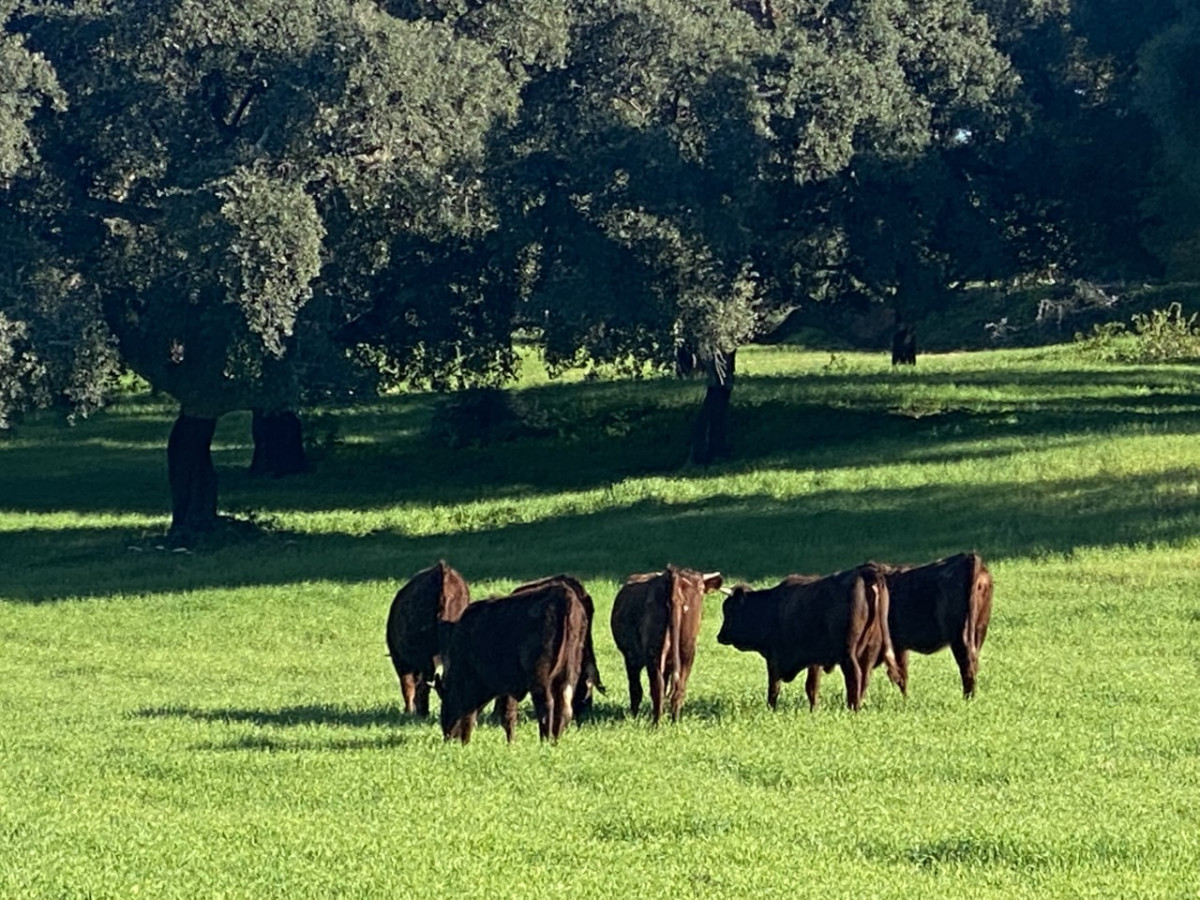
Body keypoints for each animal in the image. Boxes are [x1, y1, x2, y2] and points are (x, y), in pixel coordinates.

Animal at [441, 578, 590, 748]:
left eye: (446, 706)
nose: (448, 737)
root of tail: (565, 595)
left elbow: (483, 715)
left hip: (540, 677)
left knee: (546, 706)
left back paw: (544, 742)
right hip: (569, 673)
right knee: (563, 708)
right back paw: (555, 742)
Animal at [609, 571, 720, 724]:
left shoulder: (631, 658)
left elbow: (635, 688)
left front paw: (634, 716)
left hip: (654, 652)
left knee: (657, 688)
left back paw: (656, 723)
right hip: (687, 650)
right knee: (678, 689)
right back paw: (675, 722)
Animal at [710, 566, 902, 715]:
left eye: (730, 610)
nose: (720, 636)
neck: (773, 607)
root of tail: (866, 571)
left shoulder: (774, 657)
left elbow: (774, 688)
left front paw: (771, 710)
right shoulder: (814, 659)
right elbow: (812, 687)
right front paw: (813, 710)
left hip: (849, 653)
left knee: (854, 677)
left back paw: (852, 709)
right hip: (869, 651)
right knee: (865, 678)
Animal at [806, 549, 993, 705]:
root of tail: (970, 558)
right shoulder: (899, 647)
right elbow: (902, 674)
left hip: (960, 638)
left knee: (967, 668)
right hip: (977, 633)